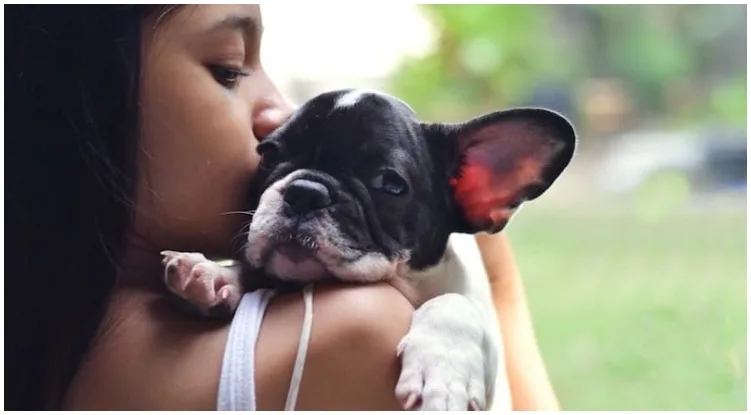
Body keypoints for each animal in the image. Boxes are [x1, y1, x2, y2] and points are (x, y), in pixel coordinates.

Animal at [163, 88, 576, 412]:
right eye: (268, 157)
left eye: (389, 184)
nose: (305, 191)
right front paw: (213, 275)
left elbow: (453, 303)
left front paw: (441, 371)